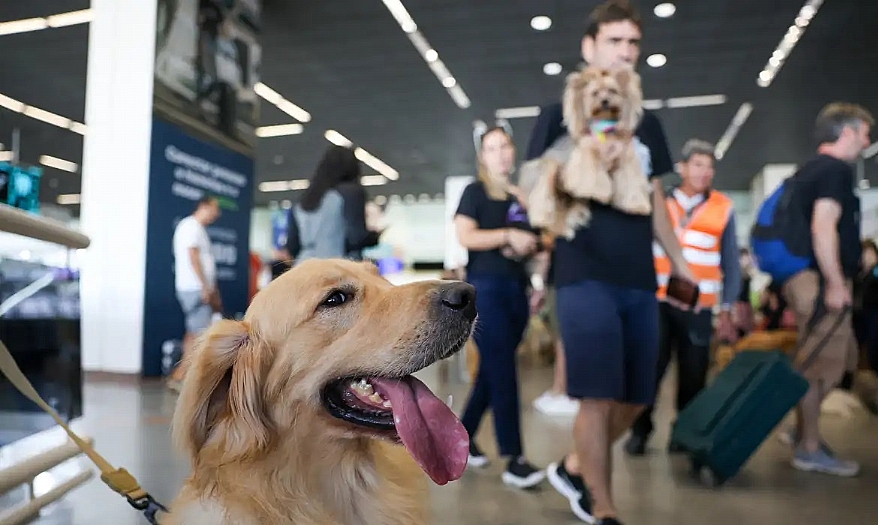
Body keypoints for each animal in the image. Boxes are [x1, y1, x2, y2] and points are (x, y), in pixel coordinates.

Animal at [524, 64, 652, 238]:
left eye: (612, 90)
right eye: (595, 93)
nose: (605, 101)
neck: (605, 127)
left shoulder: (625, 160)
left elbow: (630, 183)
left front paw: (636, 205)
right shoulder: (588, 154)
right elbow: (592, 178)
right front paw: (599, 193)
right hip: (550, 169)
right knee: (542, 196)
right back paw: (541, 217)